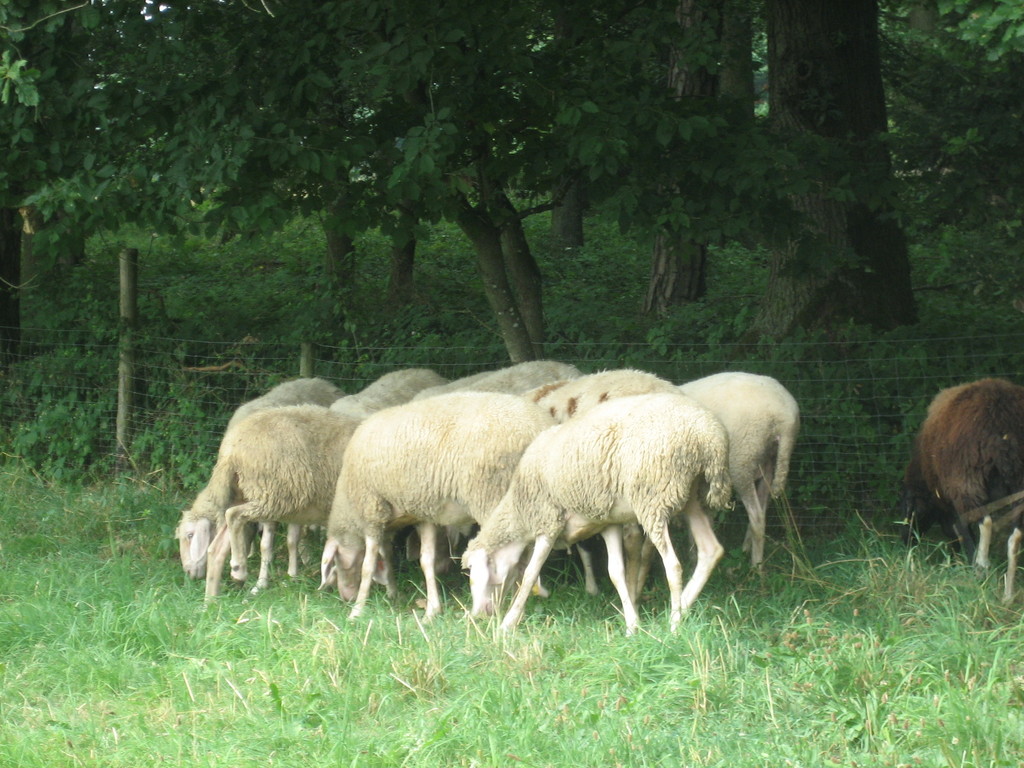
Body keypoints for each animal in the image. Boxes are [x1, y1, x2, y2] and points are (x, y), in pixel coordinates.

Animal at [202, 404, 366, 598]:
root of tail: (230, 451)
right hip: (272, 494)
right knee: (233, 516)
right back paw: (238, 569)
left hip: (249, 495)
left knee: (216, 547)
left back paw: (211, 599)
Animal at [320, 391, 558, 620]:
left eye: (336, 564)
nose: (346, 598)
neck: (347, 504)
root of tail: (540, 425)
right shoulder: (421, 516)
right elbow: (424, 560)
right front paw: (428, 609)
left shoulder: (371, 512)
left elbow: (367, 567)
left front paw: (357, 611)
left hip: (494, 497)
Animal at [462, 391, 732, 634]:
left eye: (473, 575)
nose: (477, 617)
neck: (520, 511)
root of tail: (708, 436)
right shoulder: (607, 523)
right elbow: (616, 573)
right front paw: (632, 625)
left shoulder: (549, 522)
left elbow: (530, 574)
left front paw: (507, 625)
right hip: (692, 497)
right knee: (711, 550)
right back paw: (684, 606)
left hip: (653, 499)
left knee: (674, 566)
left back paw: (675, 625)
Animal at [900, 377, 1024, 601]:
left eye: (907, 507)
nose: (904, 539)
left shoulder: (948, 501)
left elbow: (958, 532)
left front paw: (961, 563)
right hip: (1019, 484)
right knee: (1015, 536)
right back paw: (1008, 595)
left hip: (967, 481)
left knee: (985, 522)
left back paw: (982, 568)